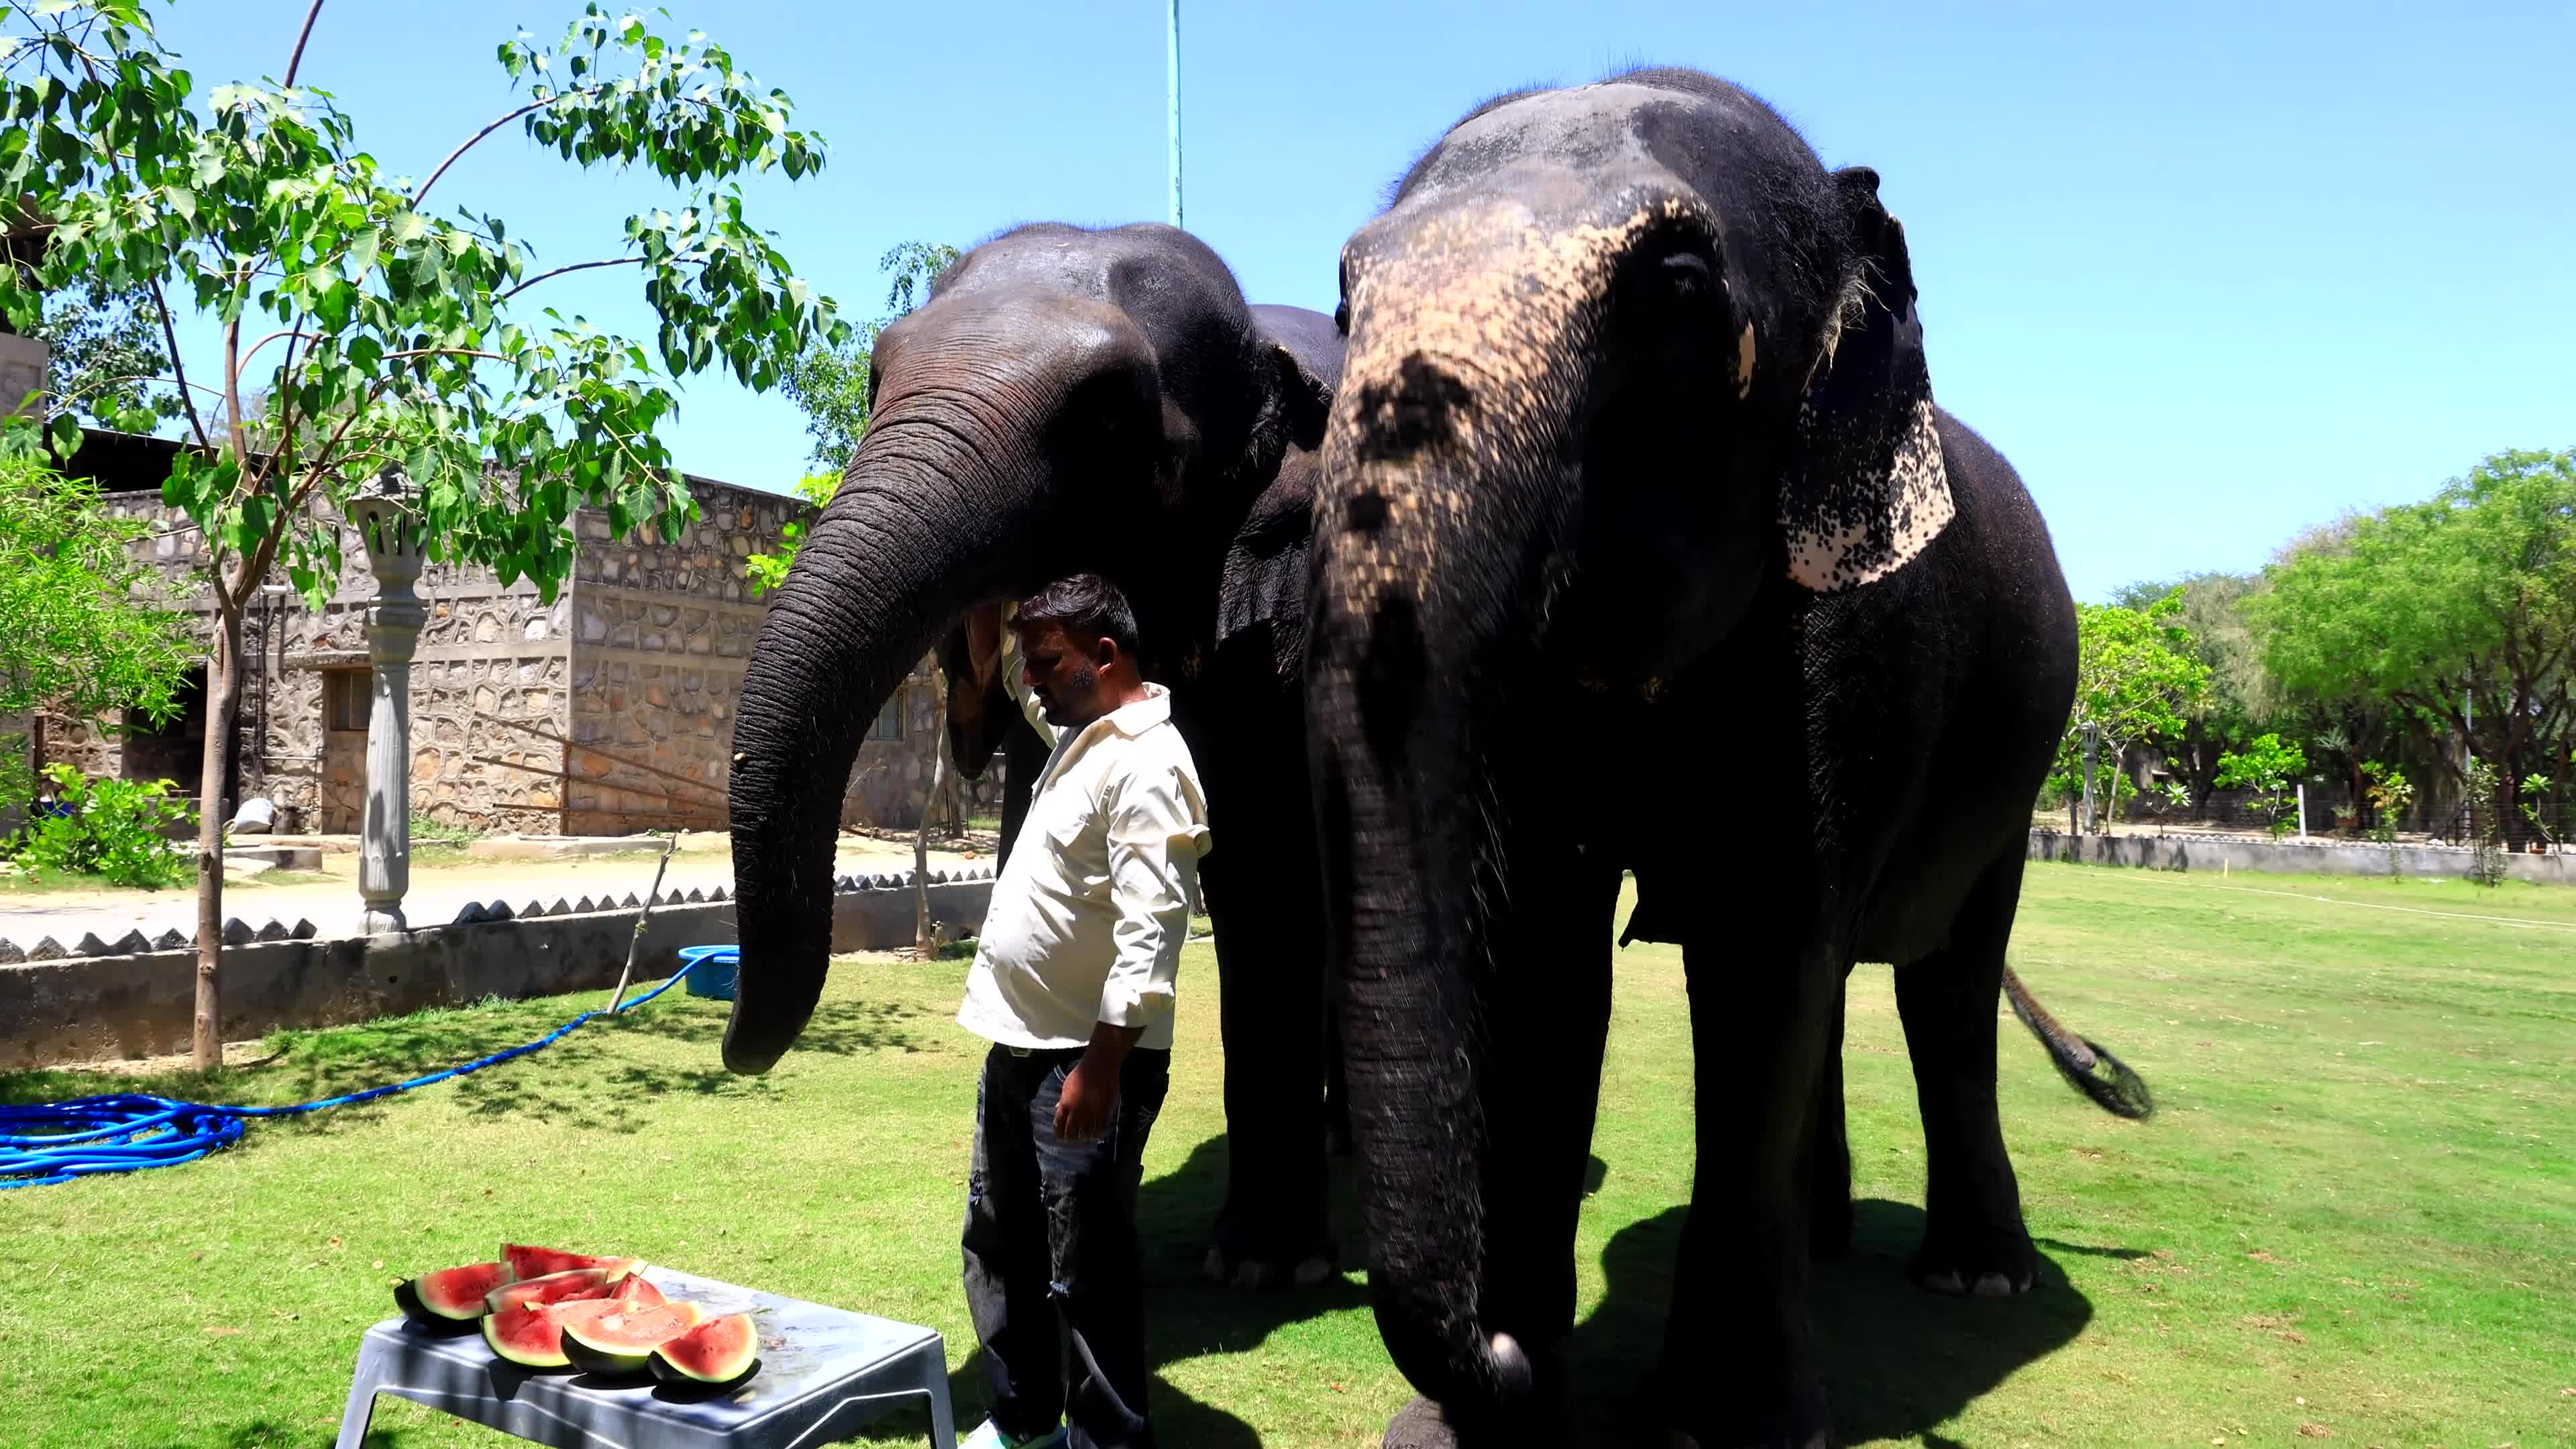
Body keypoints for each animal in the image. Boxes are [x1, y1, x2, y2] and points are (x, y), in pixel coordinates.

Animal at [1305, 69, 2149, 1447]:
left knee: (1947, 977)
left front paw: (1725, 1428)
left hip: (2017, 768)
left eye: (1682, 290)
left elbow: (1759, 947)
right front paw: (1488, 1424)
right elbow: (1541, 957)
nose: (1493, 1348)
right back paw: (1831, 1240)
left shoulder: (1847, 636)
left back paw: (1976, 1278)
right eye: (1341, 296)